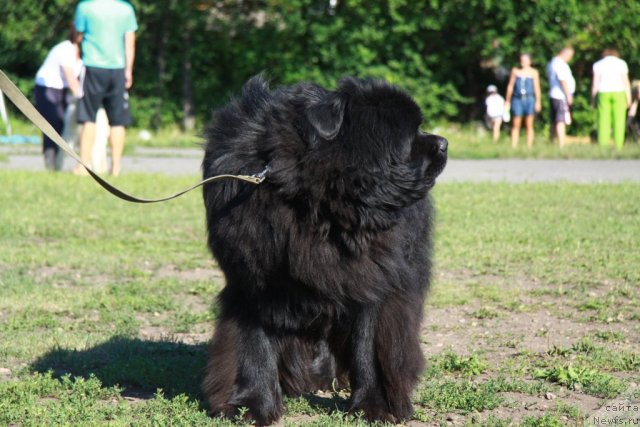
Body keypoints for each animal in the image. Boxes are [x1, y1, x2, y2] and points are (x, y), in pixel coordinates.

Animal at [202, 76, 448, 424]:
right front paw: (251, 404)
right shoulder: (251, 279)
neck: (321, 205)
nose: (443, 143)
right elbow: (254, 344)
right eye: (409, 135)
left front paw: (375, 405)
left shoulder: (372, 279)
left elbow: (368, 346)